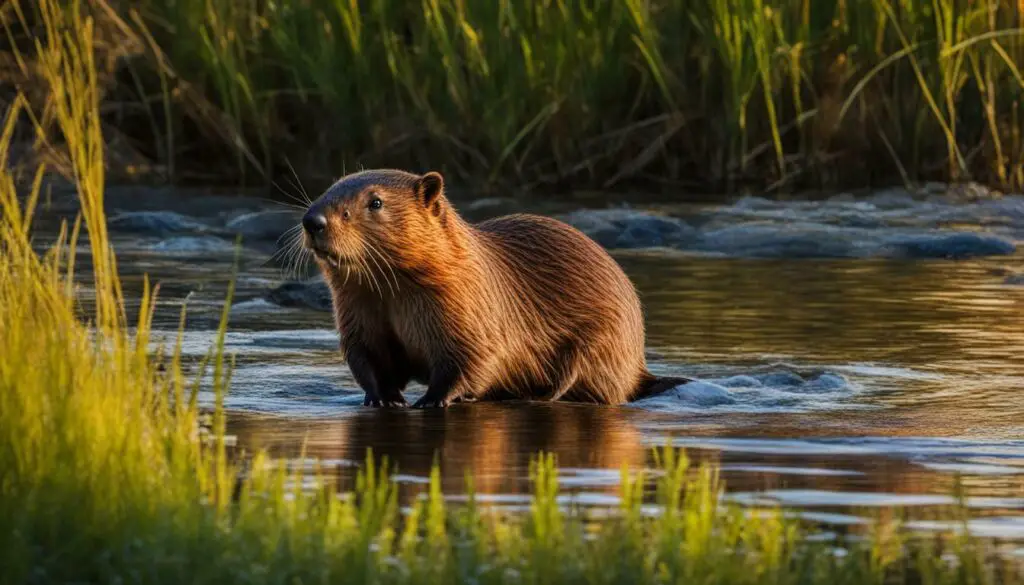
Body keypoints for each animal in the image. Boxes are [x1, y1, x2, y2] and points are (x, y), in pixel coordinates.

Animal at [299, 168, 692, 407]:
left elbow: (474, 357)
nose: (313, 220)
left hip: (603, 339)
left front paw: (432, 399)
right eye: (328, 190)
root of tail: (641, 370)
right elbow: (366, 356)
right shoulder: (361, 308)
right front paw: (385, 398)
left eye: (376, 201)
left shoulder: (471, 305)